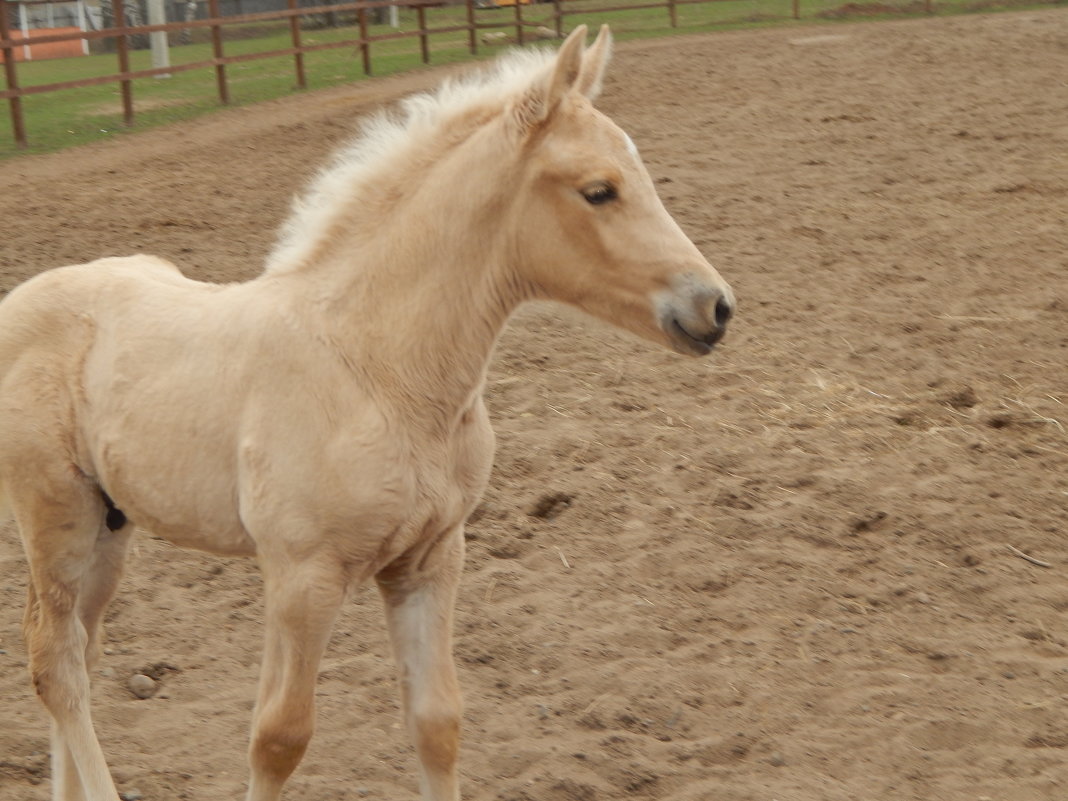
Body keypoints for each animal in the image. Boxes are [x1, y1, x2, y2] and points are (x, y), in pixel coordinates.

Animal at [0, 25, 734, 801]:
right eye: (599, 191)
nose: (714, 306)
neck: (377, 368)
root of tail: (21, 300)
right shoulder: (301, 576)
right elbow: (279, 737)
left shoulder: (431, 559)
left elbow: (437, 722)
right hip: (55, 518)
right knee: (56, 663)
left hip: (110, 524)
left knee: (78, 651)